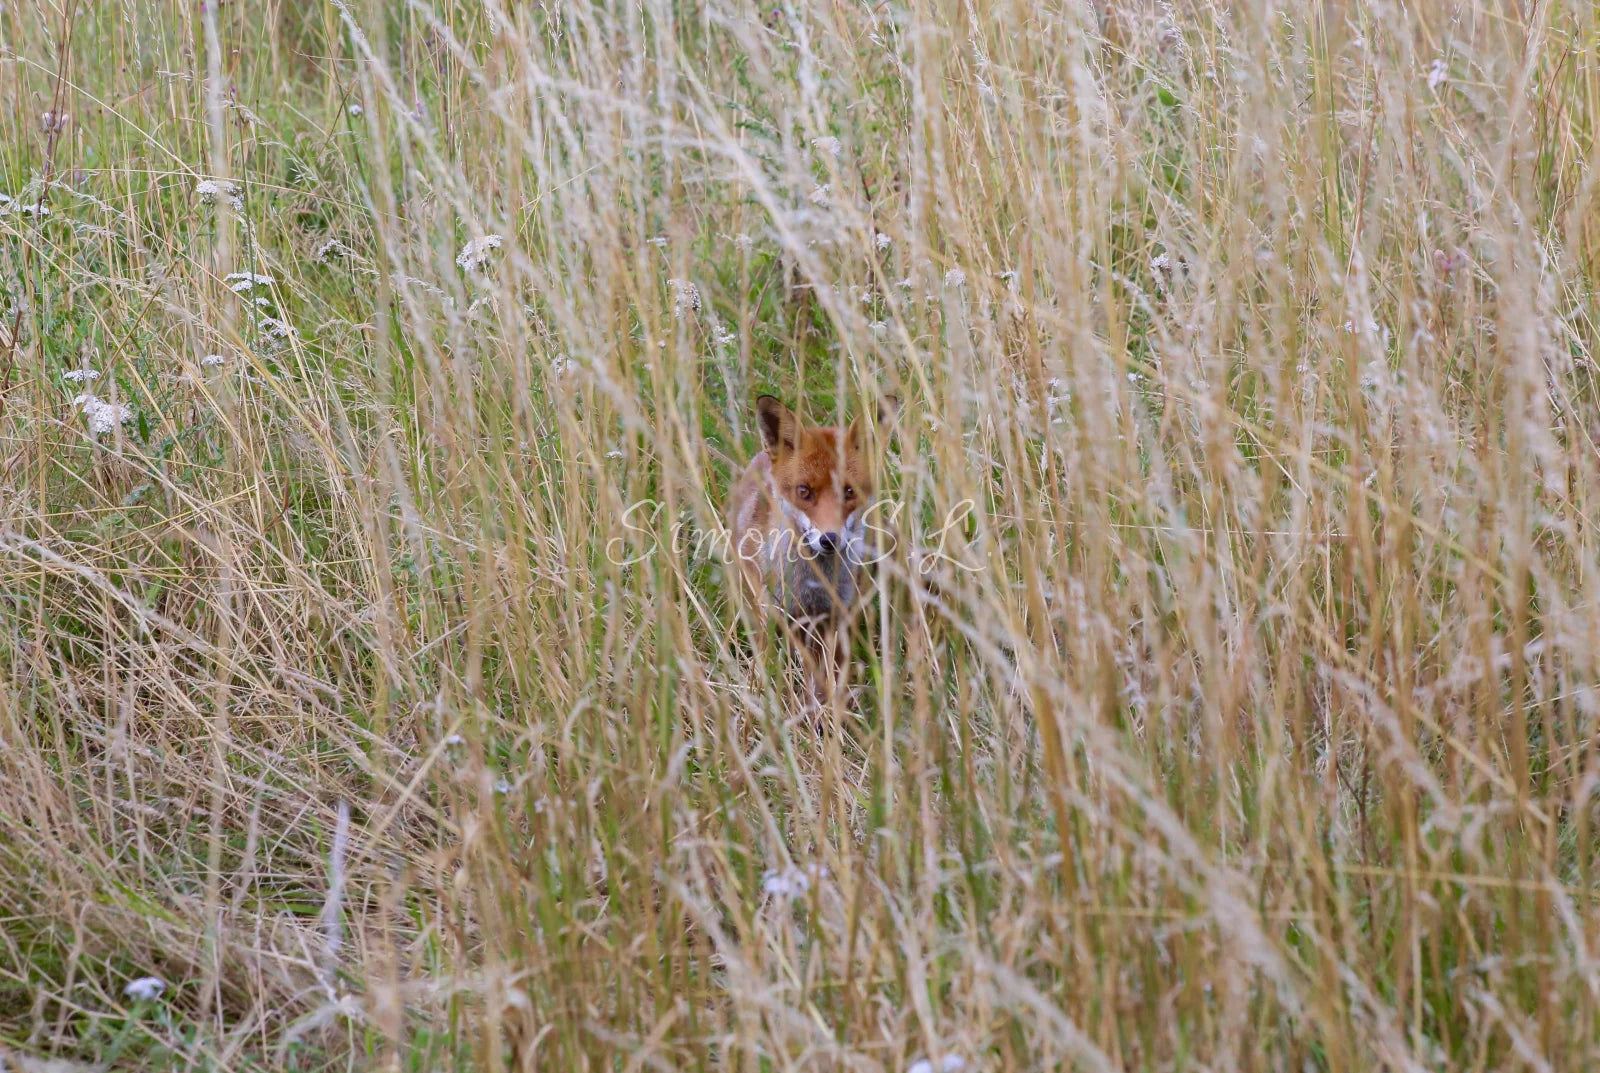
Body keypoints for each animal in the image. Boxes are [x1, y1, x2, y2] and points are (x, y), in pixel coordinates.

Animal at [726, 393, 899, 706]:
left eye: (849, 491)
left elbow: (829, 683)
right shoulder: (772, 615)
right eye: (804, 491)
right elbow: (767, 668)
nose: (829, 539)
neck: (812, 586)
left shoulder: (836, 621)